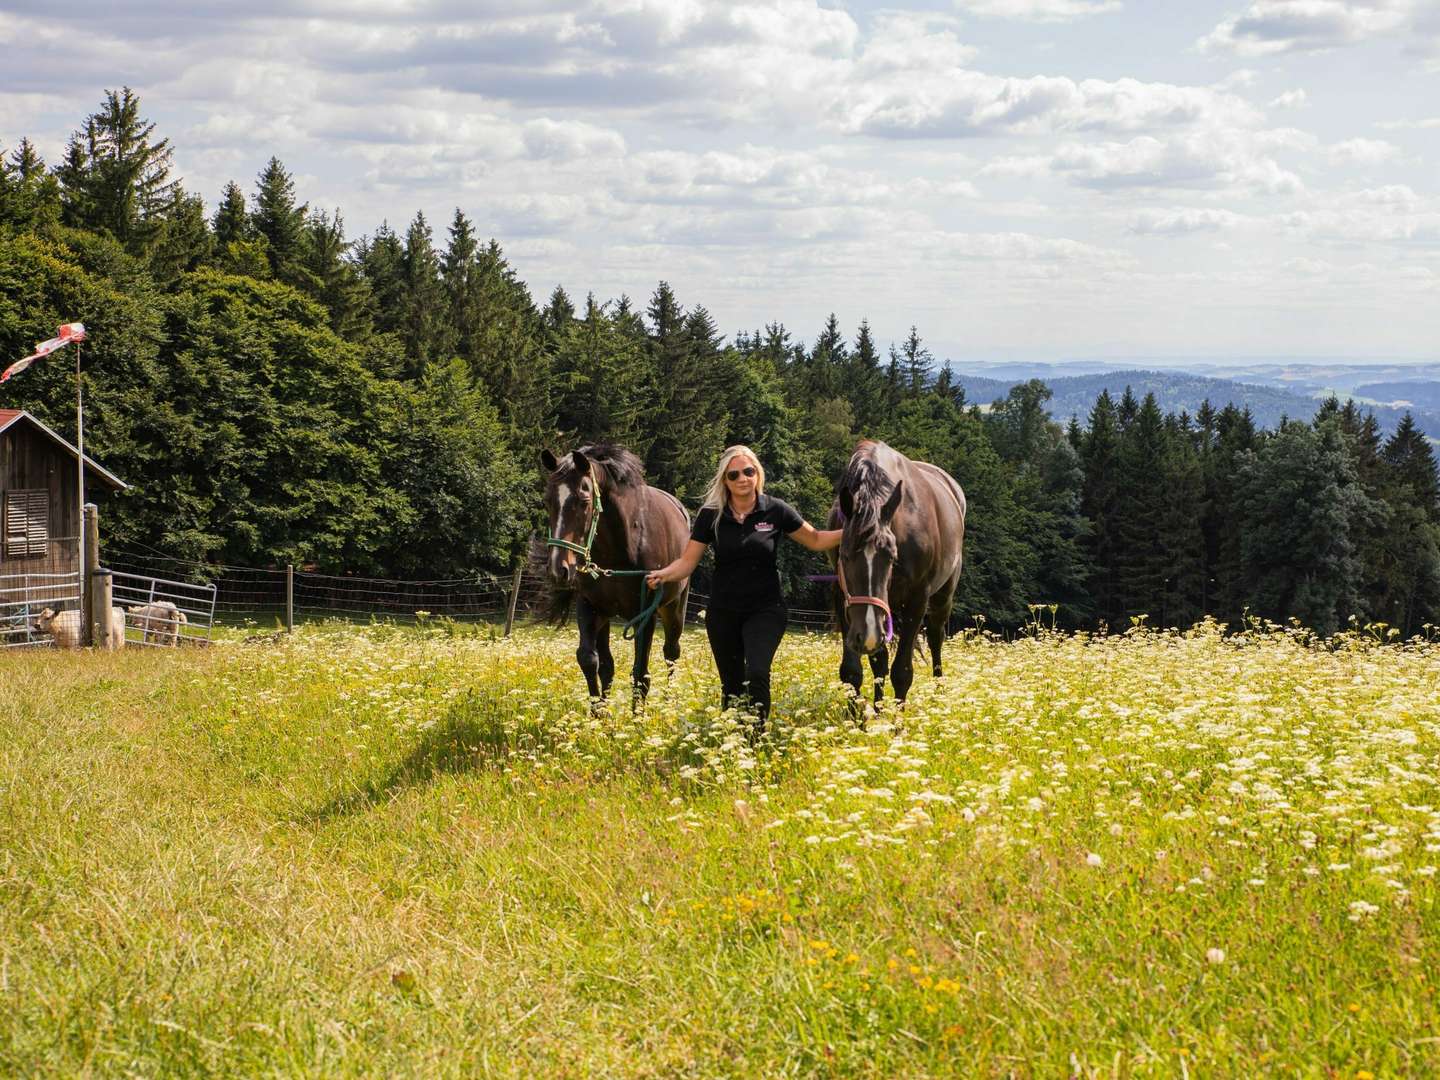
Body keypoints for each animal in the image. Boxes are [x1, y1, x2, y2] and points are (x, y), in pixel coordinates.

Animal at [541, 443, 694, 705]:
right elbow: (591, 661)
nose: (558, 569)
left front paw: (637, 716)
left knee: (671, 653)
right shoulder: (591, 607)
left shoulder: (645, 615)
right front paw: (598, 713)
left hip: (674, 608)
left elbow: (641, 674)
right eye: (548, 501)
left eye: (584, 501)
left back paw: (668, 701)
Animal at [829, 440, 961, 705]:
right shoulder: (843, 598)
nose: (867, 636)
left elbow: (902, 673)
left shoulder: (917, 600)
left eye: (891, 556)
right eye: (845, 555)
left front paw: (896, 717)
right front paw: (862, 716)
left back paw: (939, 693)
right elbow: (853, 671)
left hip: (942, 598)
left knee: (936, 639)